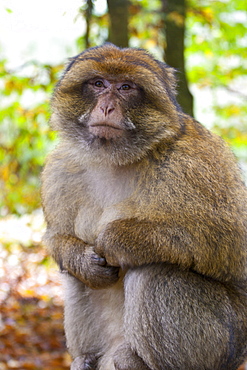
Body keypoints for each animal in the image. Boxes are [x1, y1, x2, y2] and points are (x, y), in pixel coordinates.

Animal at [41, 44, 247, 370]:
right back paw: (86, 359)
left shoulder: (196, 160)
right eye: (98, 84)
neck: (116, 159)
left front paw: (118, 239)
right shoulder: (60, 167)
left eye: (126, 88)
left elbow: (234, 245)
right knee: (74, 278)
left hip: (222, 341)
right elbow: (56, 236)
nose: (106, 108)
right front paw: (83, 260)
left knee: (156, 270)